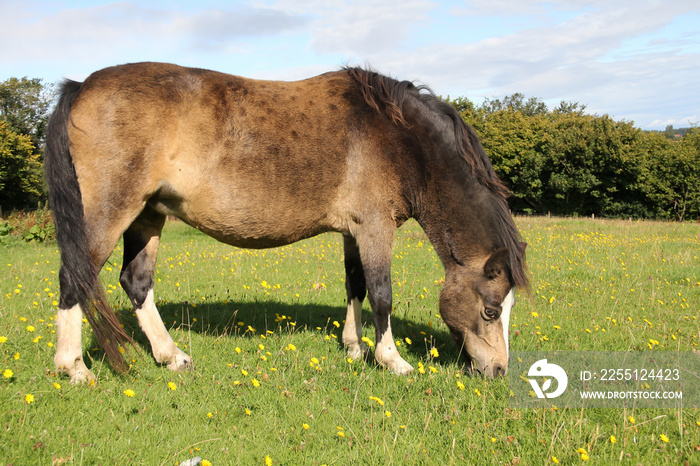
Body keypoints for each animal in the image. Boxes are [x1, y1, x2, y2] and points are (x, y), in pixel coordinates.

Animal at [42, 62, 524, 384]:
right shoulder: (375, 228)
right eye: (490, 309)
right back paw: (74, 368)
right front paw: (392, 360)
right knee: (74, 277)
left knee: (136, 281)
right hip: (111, 212)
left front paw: (353, 347)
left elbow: (355, 285)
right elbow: (382, 294)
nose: (499, 370)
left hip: (148, 215)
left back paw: (171, 356)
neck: (395, 136)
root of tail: (82, 87)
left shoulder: (352, 231)